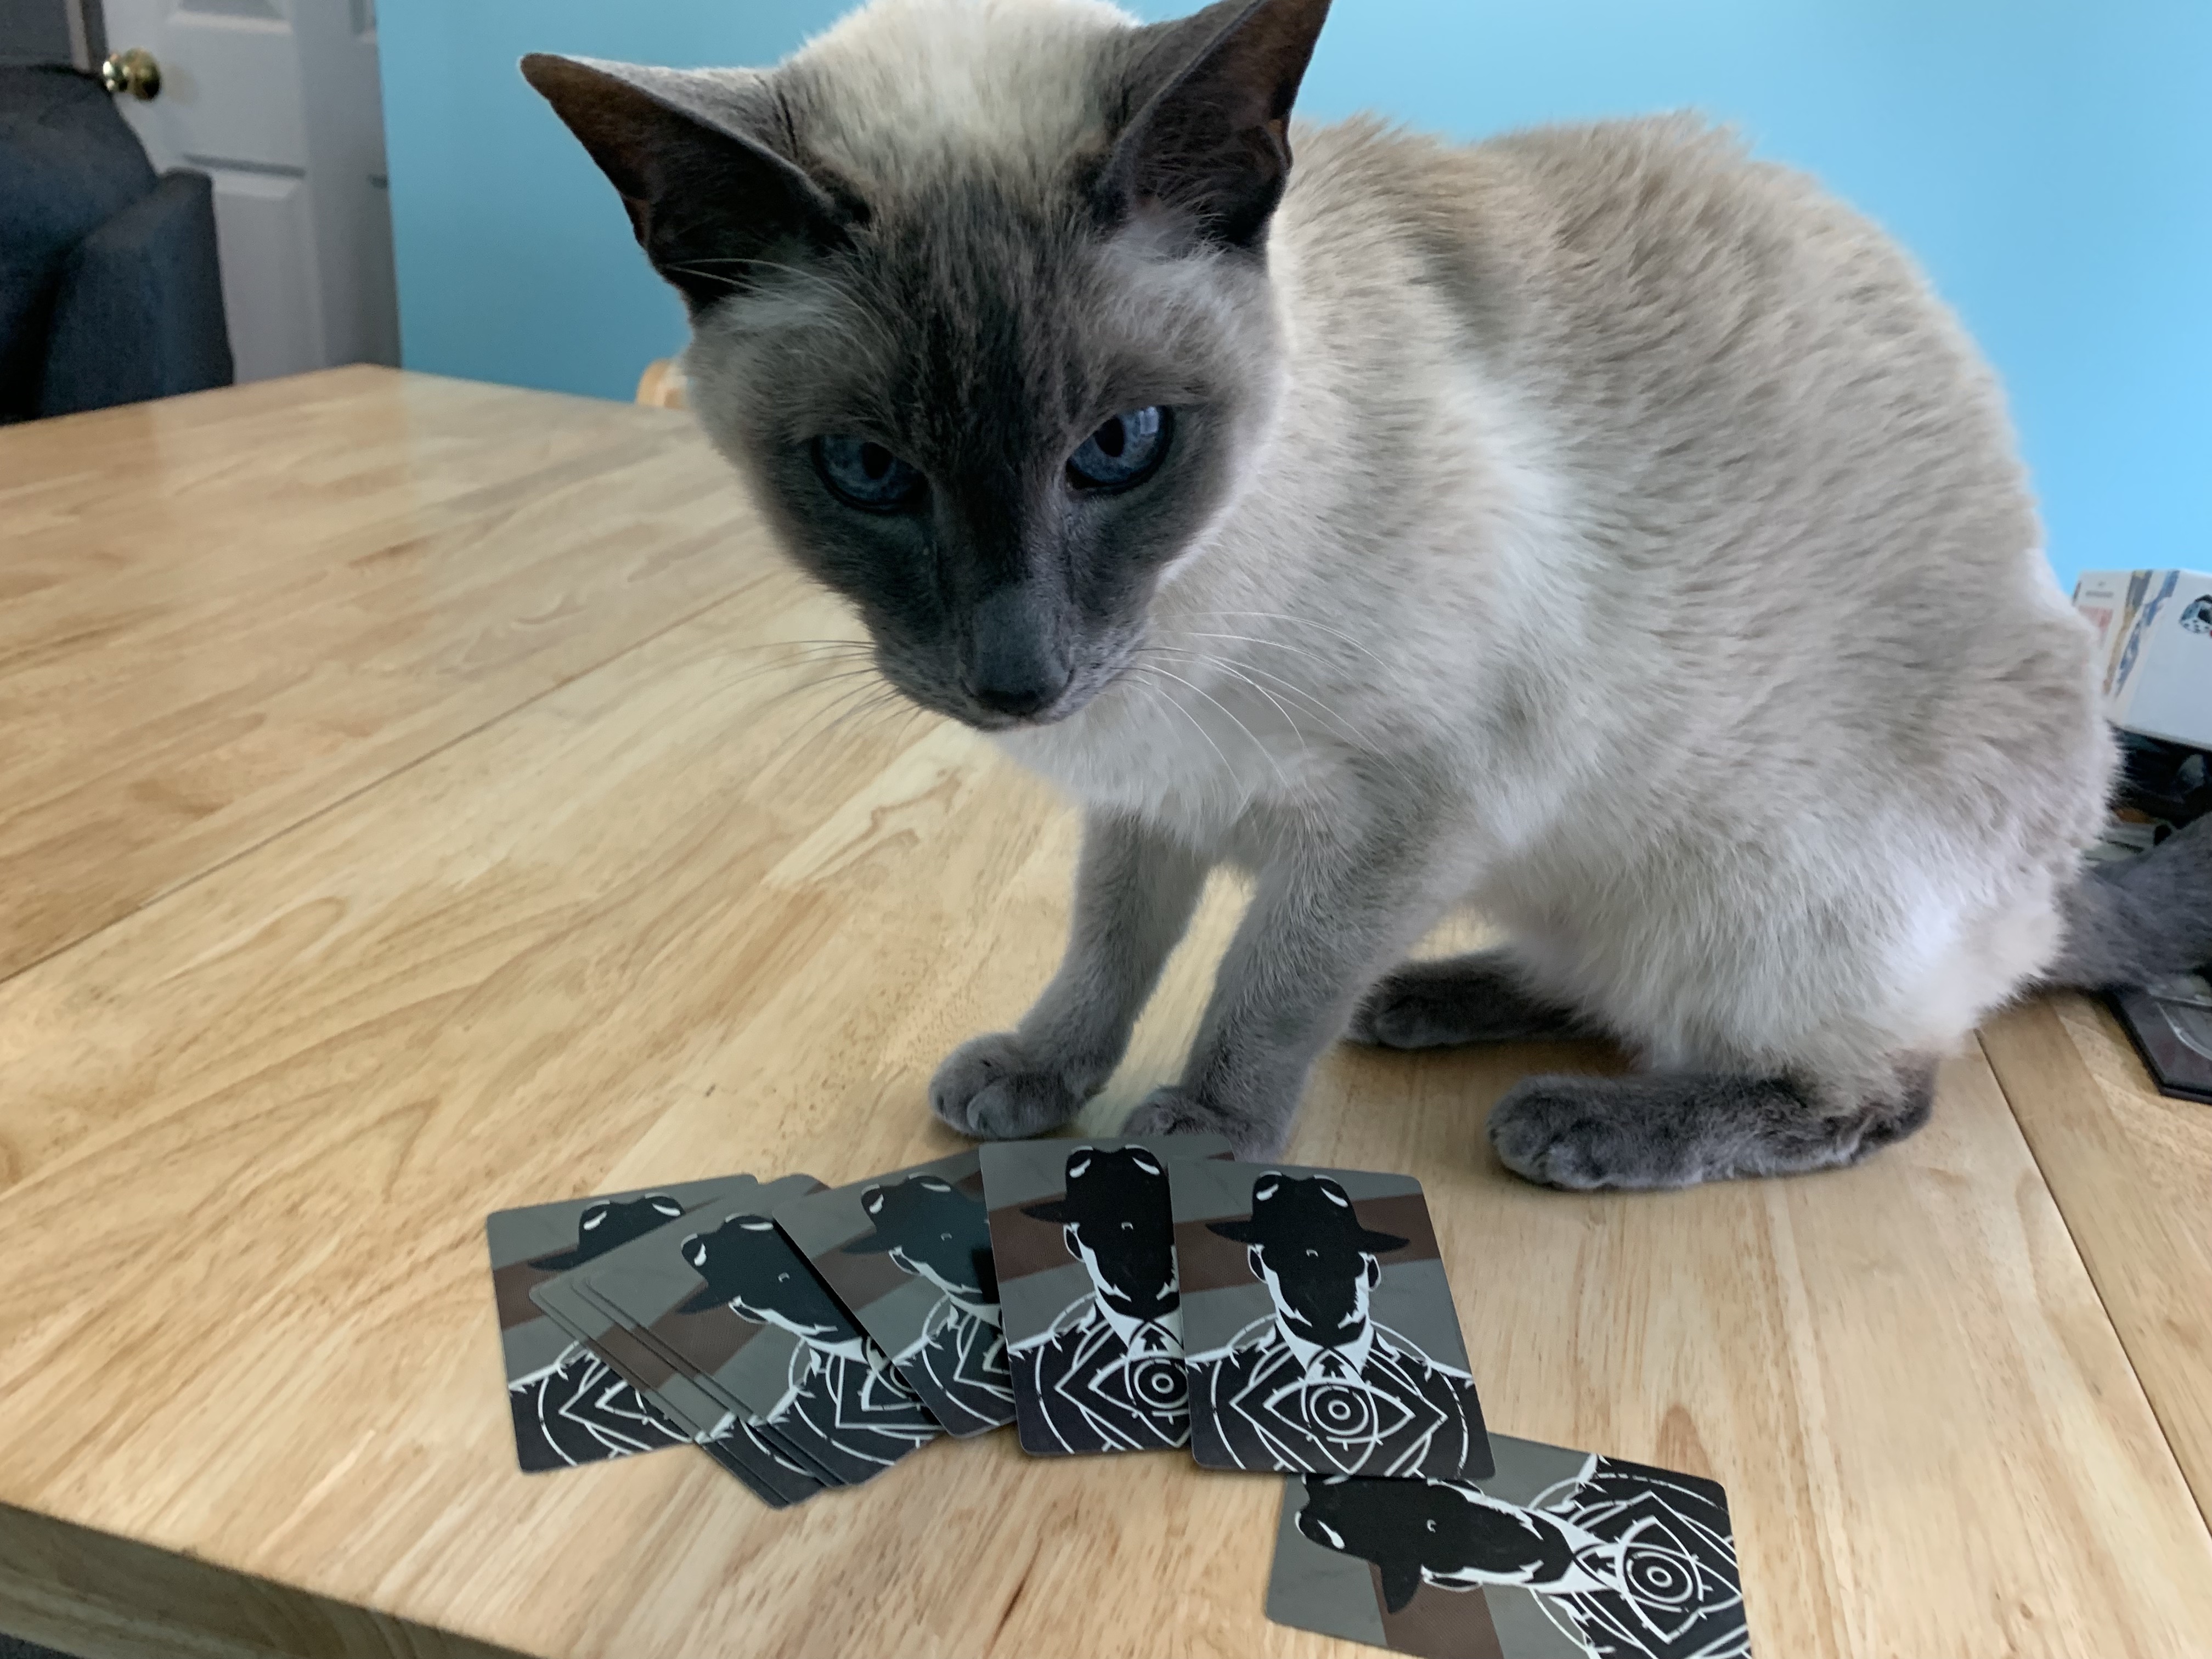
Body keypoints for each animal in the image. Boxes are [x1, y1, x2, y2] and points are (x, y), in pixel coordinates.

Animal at [523, 0, 2212, 1187]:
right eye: (869, 471)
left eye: (1120, 448)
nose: (1019, 679)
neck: (1182, 623)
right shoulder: (1150, 799)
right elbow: (1108, 953)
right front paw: (1044, 1078)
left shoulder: (1405, 809)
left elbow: (1269, 986)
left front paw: (1198, 1136)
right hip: (1582, 876)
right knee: (1610, 987)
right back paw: (1439, 1000)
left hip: (1755, 895)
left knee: (1868, 1088)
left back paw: (1578, 1126)